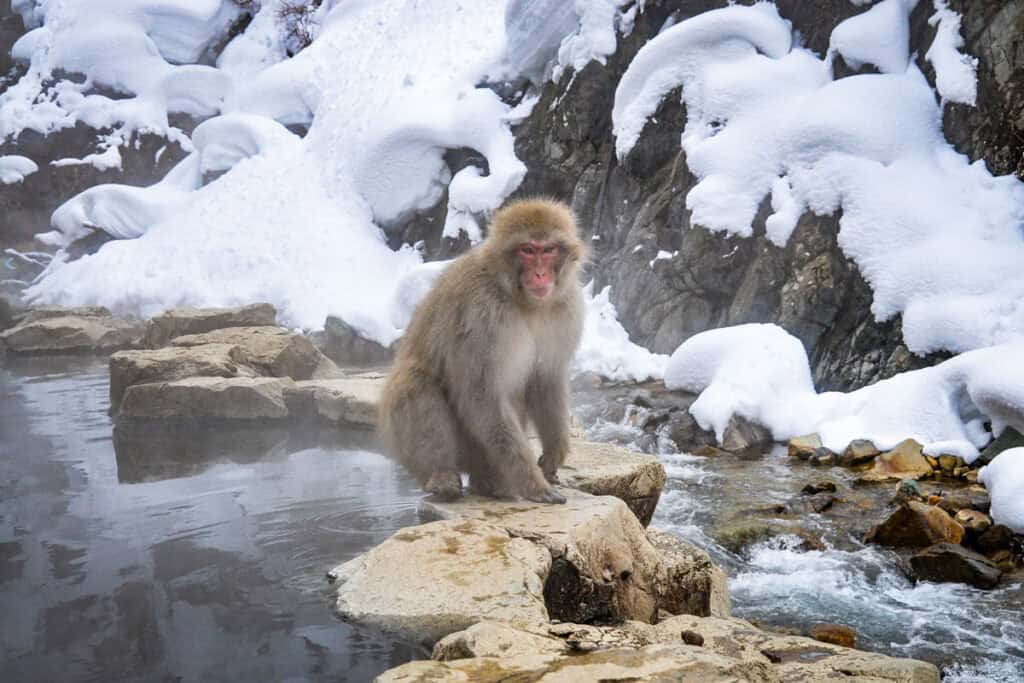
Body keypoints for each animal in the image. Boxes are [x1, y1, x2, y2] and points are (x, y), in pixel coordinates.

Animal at [378, 196, 589, 501]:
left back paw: (490, 482)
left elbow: (546, 380)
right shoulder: (481, 314)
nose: (540, 274)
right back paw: (443, 476)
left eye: (548, 250)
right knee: (415, 381)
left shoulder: (566, 308)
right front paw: (533, 483)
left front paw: (553, 454)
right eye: (527, 250)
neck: (523, 302)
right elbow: (482, 396)